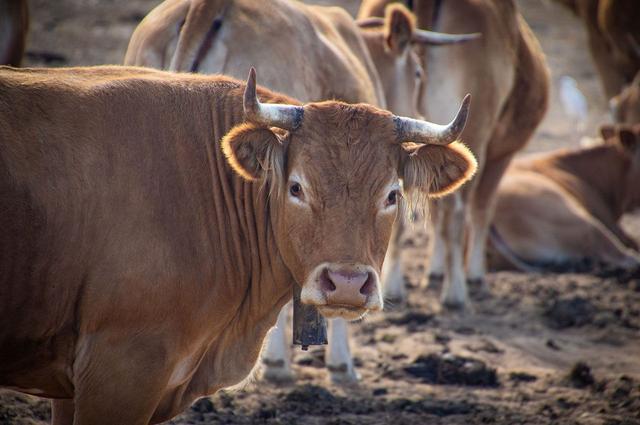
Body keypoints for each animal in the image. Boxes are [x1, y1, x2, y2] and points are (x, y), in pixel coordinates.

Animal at [360, 0, 552, 310]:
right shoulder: (497, 157)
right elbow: (480, 211)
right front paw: (472, 275)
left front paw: (434, 270)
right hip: (475, 139)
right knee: (460, 213)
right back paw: (456, 292)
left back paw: (393, 289)